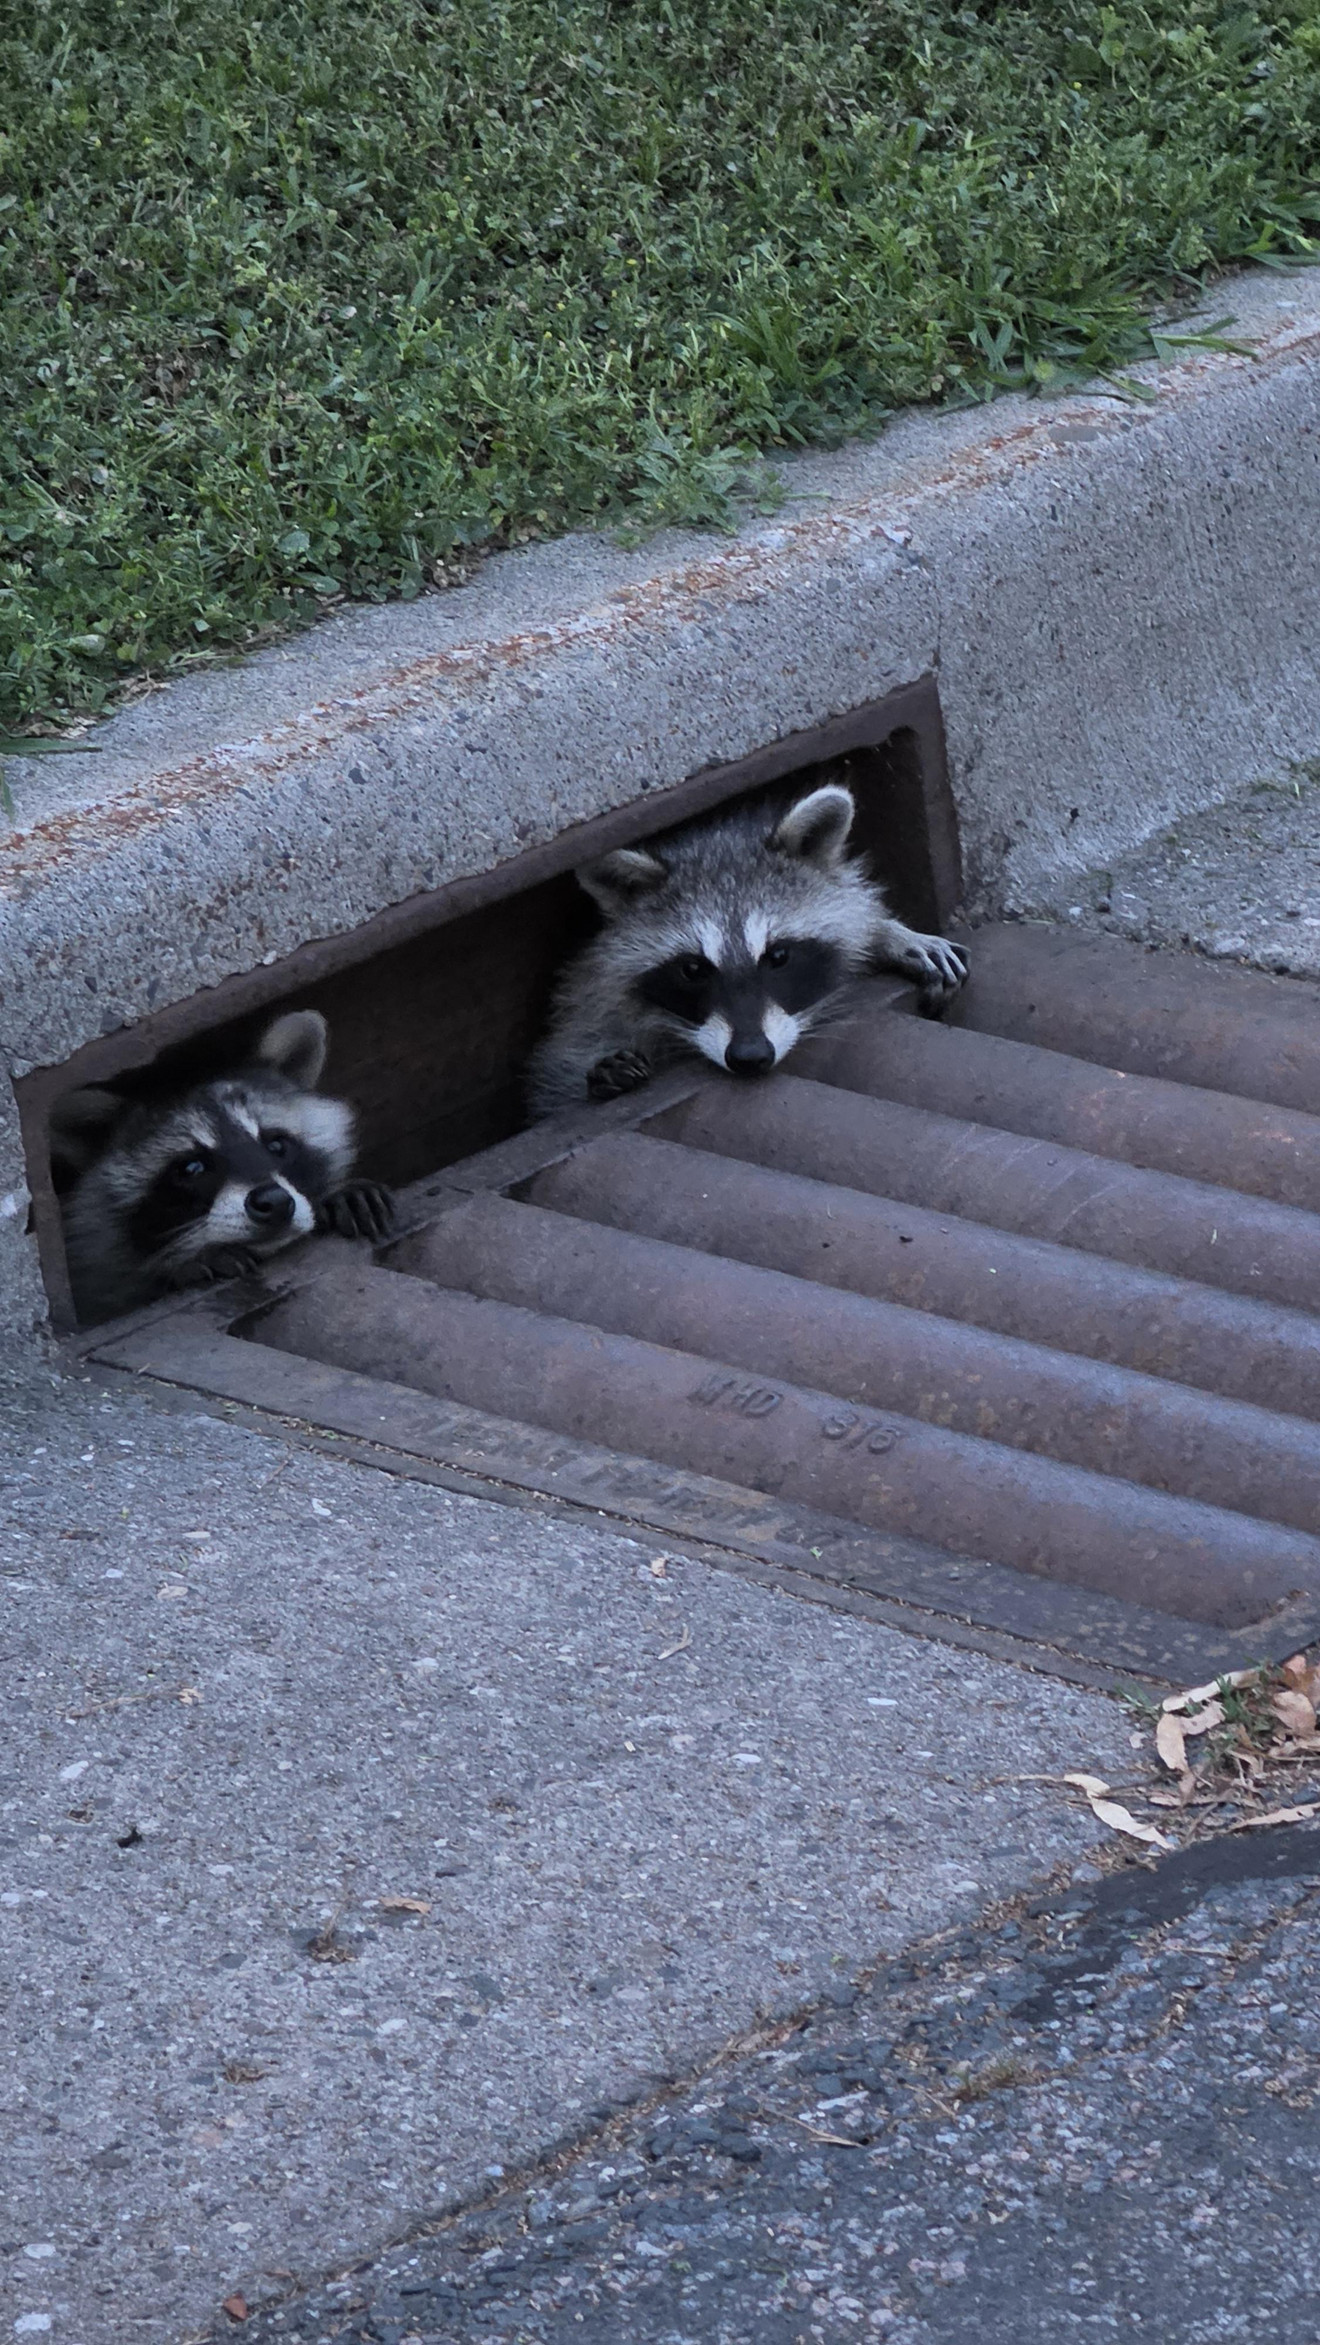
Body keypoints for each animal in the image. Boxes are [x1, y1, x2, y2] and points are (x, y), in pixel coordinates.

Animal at [528, 782, 967, 1116]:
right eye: (692, 969)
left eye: (778, 956)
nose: (750, 1056)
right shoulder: (588, 1003)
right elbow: (560, 1075)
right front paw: (598, 1073)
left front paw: (888, 935)